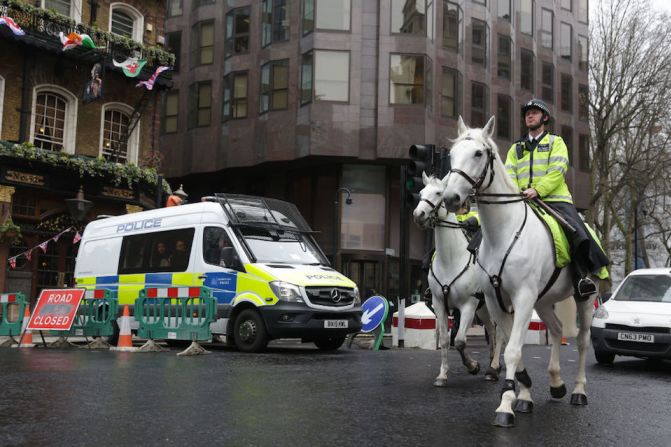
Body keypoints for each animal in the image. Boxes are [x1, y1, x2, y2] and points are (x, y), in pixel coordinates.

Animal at [414, 173, 504, 386]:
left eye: (439, 193)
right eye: (421, 192)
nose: (419, 214)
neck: (451, 259)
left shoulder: (468, 305)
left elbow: (461, 341)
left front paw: (472, 366)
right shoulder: (439, 304)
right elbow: (447, 340)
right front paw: (442, 375)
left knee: (500, 333)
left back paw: (494, 367)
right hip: (483, 308)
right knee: (492, 331)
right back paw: (491, 364)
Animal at [444, 116, 596, 430]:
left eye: (478, 153)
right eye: (451, 154)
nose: (451, 198)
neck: (504, 233)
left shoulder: (523, 298)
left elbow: (512, 349)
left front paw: (506, 404)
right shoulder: (496, 300)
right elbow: (512, 346)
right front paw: (523, 392)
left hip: (584, 299)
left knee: (582, 340)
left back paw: (578, 391)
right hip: (545, 300)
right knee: (557, 329)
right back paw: (556, 383)